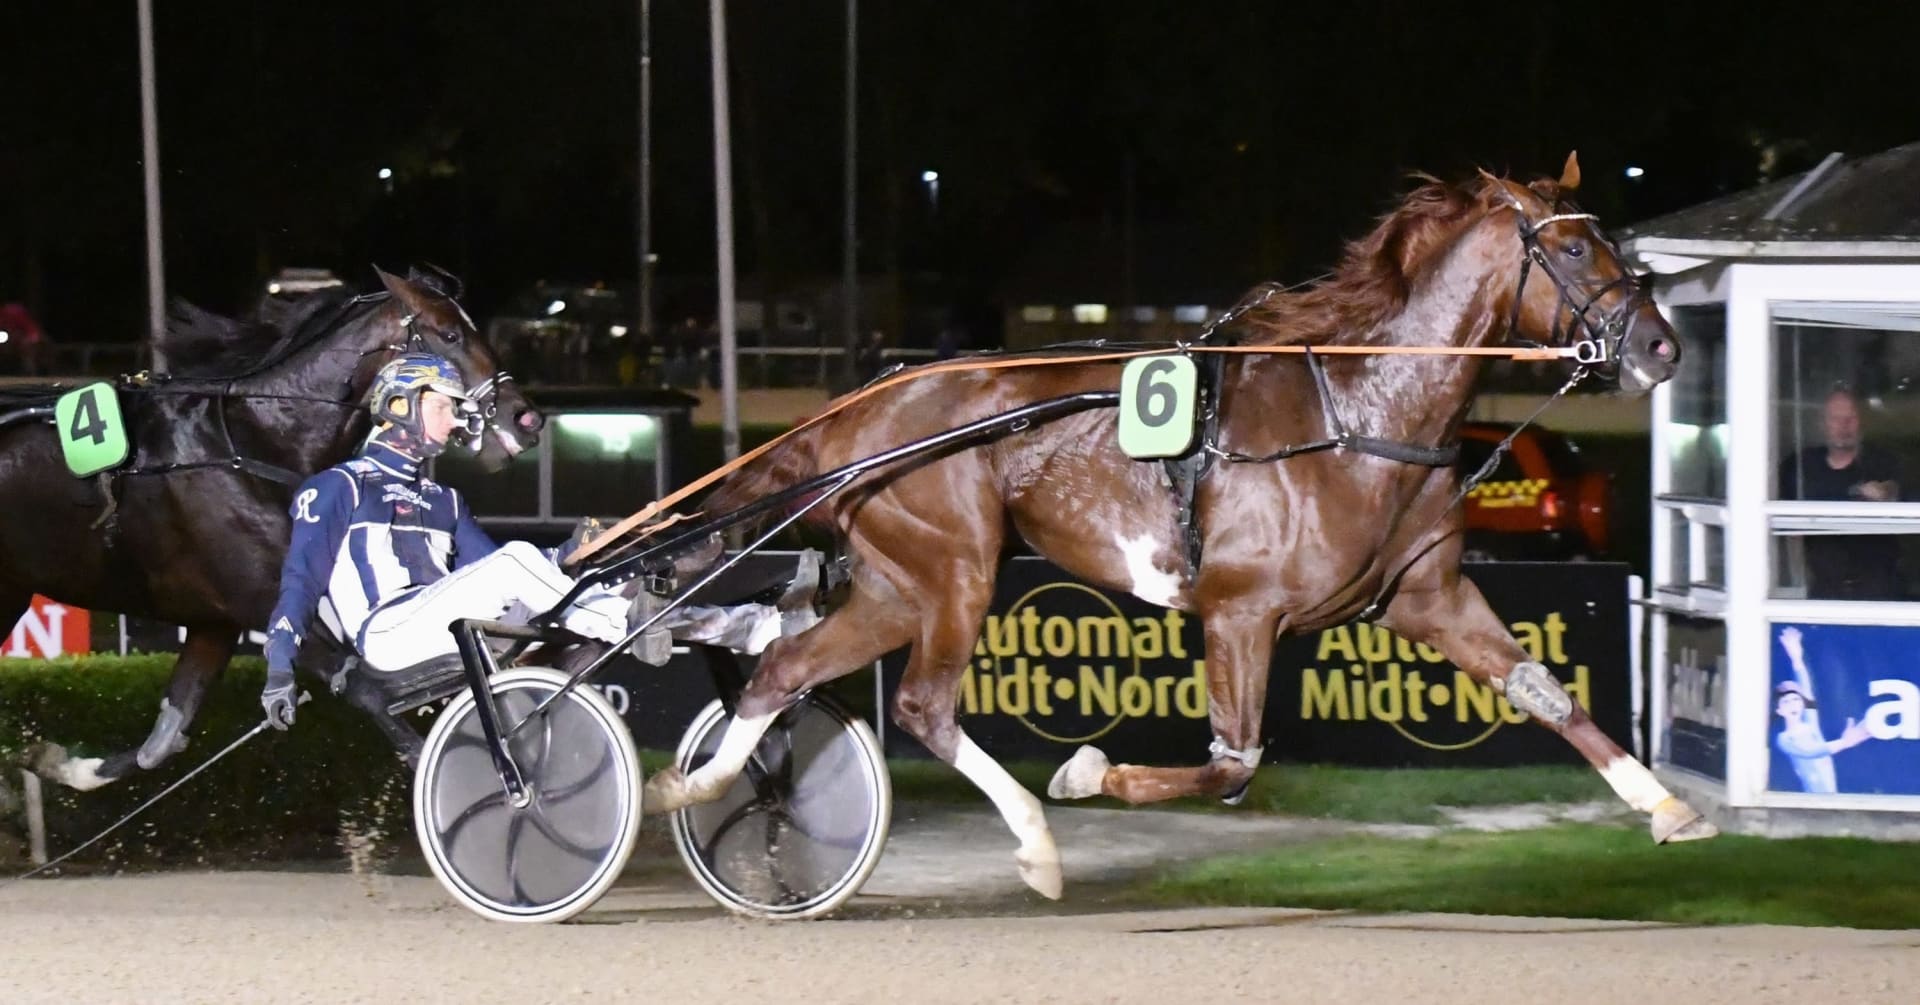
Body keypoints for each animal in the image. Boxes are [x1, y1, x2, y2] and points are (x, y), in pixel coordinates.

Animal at [1, 270, 541, 791]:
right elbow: (366, 690)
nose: (527, 418)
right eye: (449, 334)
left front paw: (59, 763)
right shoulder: (263, 598)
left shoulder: (213, 622)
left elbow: (165, 738)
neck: (255, 439)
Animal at [645, 159, 1712, 903]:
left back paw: (695, 791)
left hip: (897, 584)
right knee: (922, 706)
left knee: (786, 670)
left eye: (1613, 239)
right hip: (956, 567)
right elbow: (1232, 765)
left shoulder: (1428, 597)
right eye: (1571, 250)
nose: (1664, 346)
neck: (1360, 410)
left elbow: (1546, 690)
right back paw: (1036, 839)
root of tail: (854, 413)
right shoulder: (1240, 612)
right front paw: (1087, 768)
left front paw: (1670, 807)